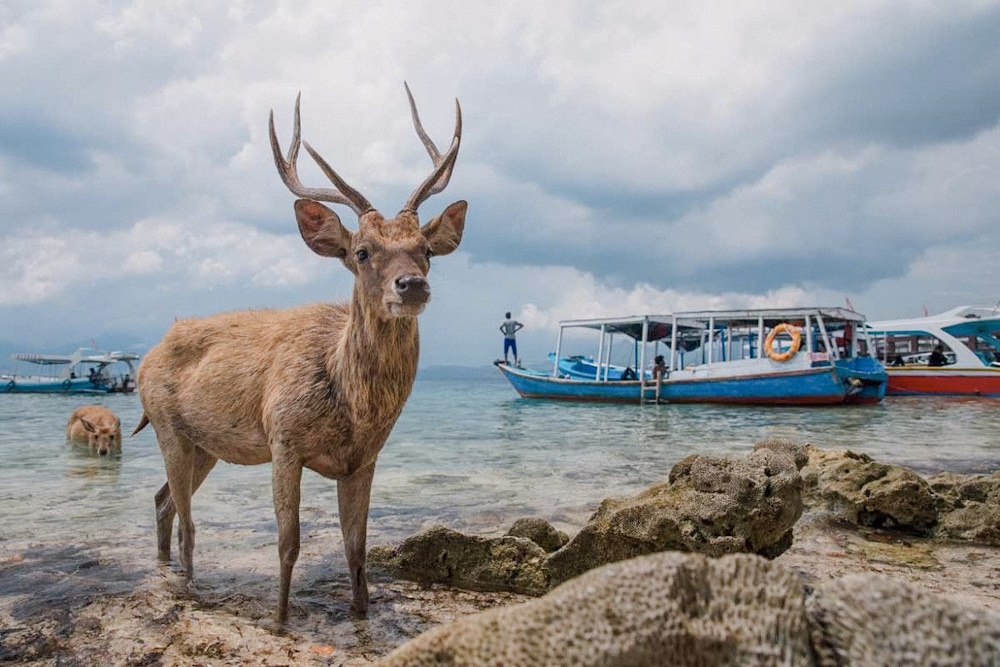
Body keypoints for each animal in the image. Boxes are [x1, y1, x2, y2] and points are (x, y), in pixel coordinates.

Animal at [133, 85, 468, 628]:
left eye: (427, 250)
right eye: (362, 251)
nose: (412, 284)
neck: (351, 407)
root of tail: (146, 357)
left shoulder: (363, 459)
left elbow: (356, 548)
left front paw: (360, 614)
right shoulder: (283, 438)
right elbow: (288, 543)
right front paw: (280, 620)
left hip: (204, 444)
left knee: (163, 502)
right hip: (167, 426)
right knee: (185, 519)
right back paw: (189, 586)